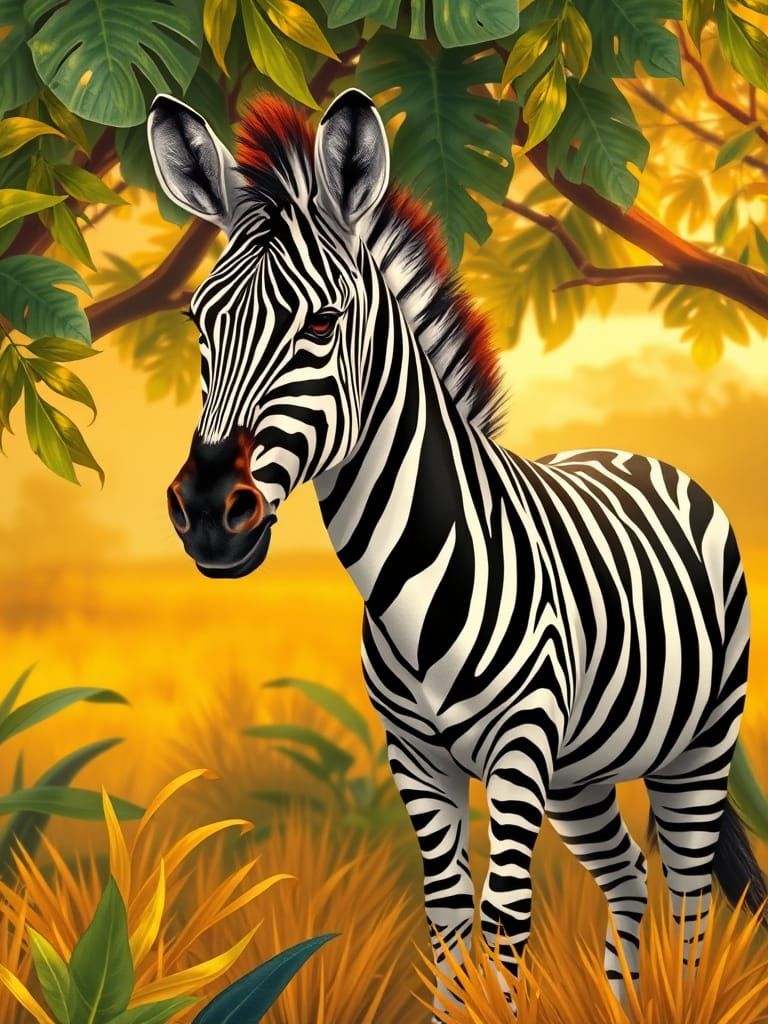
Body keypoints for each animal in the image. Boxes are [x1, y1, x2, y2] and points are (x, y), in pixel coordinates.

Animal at [147, 87, 766, 1014]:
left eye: (323, 322)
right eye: (198, 321)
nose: (210, 513)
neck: (409, 581)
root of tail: (641, 454)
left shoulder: (521, 740)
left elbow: (504, 916)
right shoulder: (415, 754)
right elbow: (445, 914)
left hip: (698, 743)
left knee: (689, 899)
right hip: (582, 771)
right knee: (628, 875)